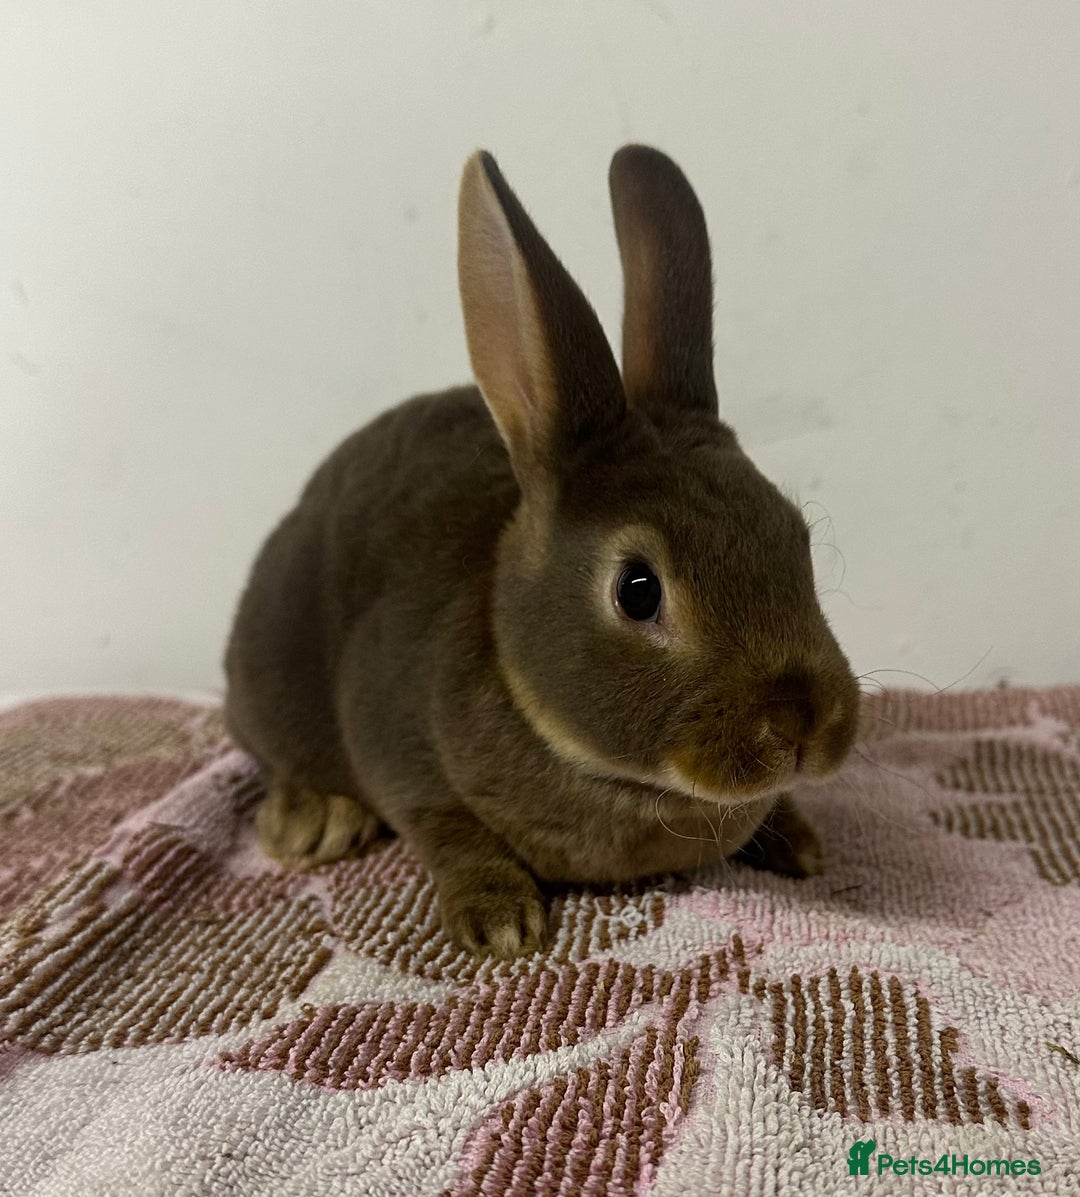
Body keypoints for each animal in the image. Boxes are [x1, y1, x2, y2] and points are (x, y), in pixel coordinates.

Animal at [223, 145, 860, 960]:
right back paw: (312, 820)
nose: (803, 726)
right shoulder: (397, 745)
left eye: (796, 541)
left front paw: (800, 842)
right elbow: (445, 827)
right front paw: (499, 918)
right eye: (639, 590)